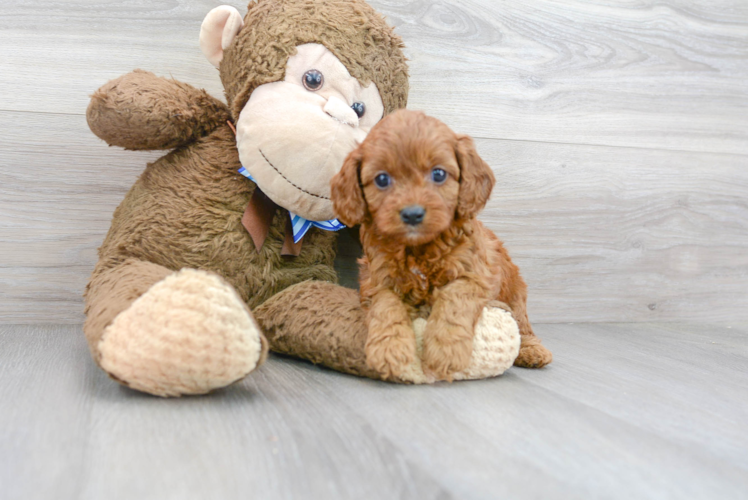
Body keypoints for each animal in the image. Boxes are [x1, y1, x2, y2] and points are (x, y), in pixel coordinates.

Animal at [330, 111, 552, 380]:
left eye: (438, 174)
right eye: (382, 179)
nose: (412, 214)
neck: (418, 248)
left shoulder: (474, 275)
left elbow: (454, 302)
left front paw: (446, 351)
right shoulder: (377, 279)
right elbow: (386, 307)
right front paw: (390, 349)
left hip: (515, 292)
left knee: (523, 324)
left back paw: (532, 351)